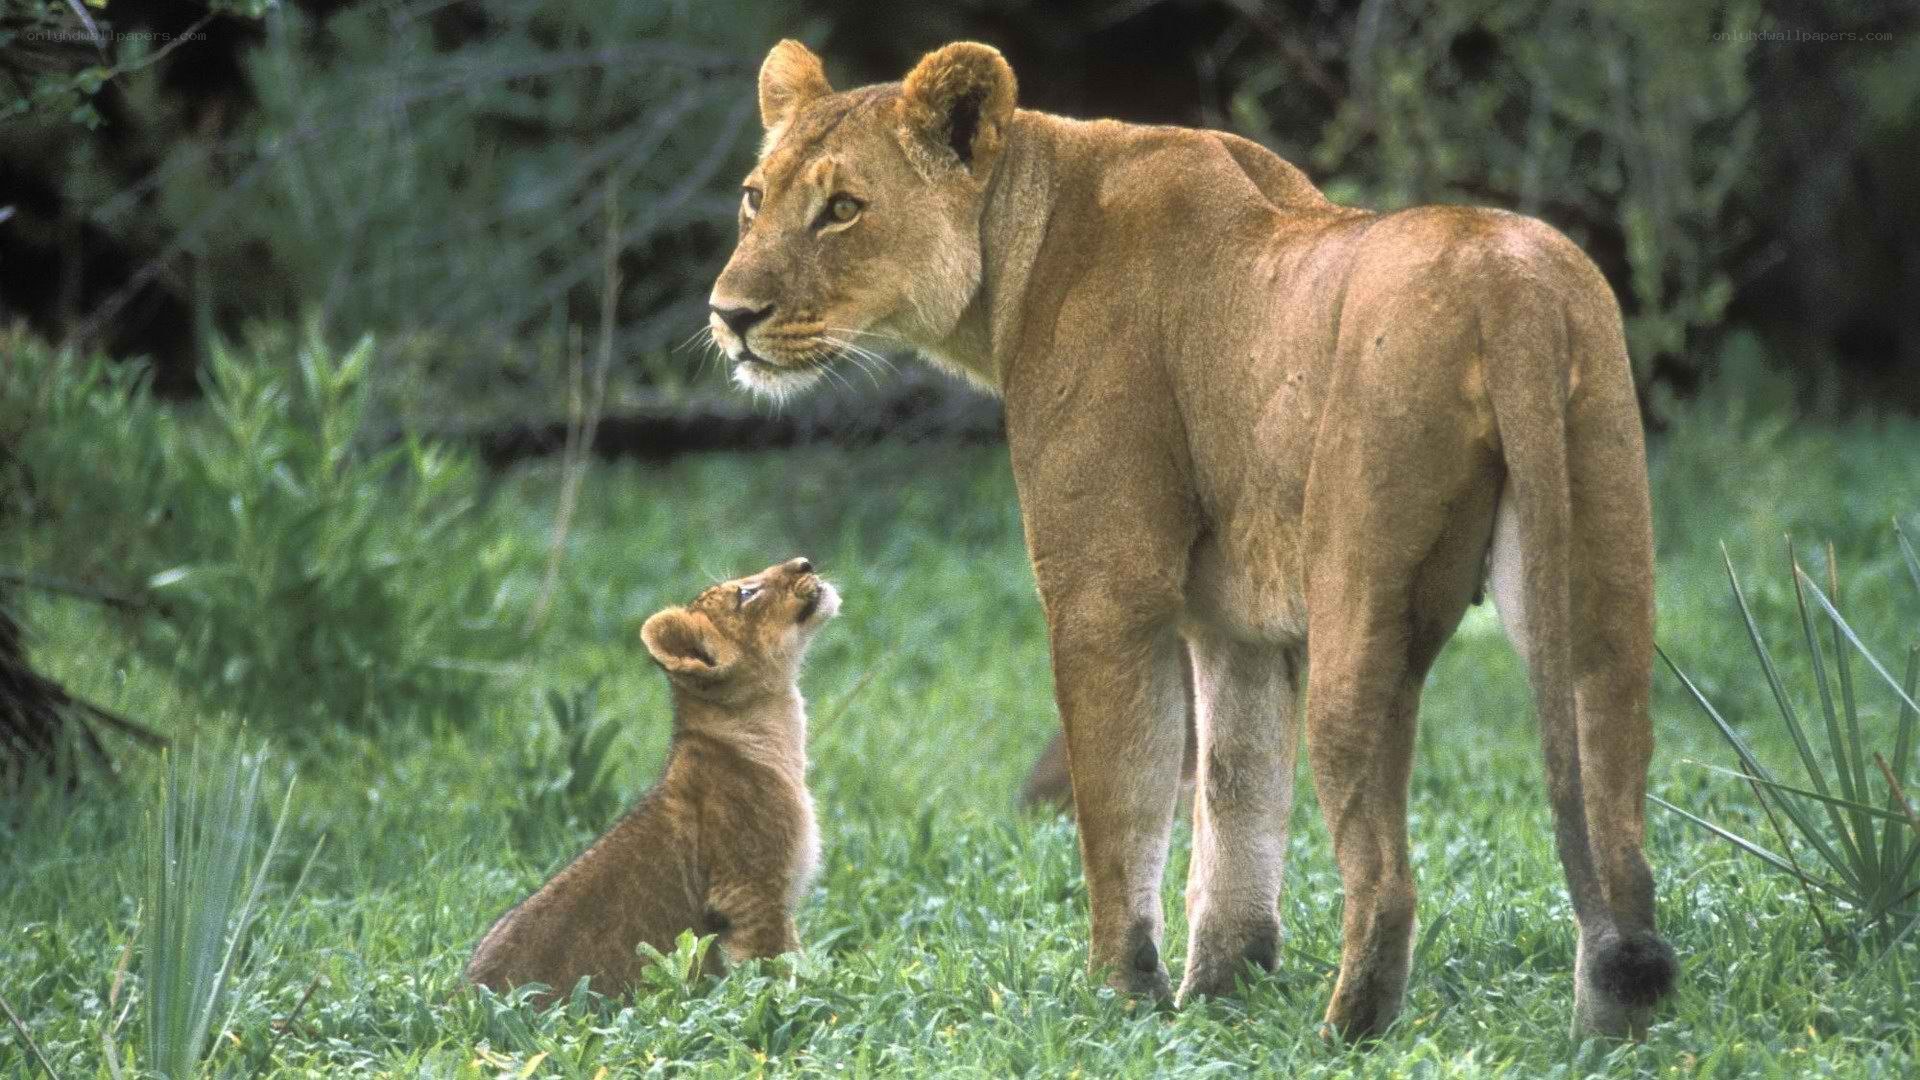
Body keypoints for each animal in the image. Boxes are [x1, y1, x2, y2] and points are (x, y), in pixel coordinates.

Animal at [465, 557, 837, 1006]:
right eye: (746, 593)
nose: (805, 562)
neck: (774, 730)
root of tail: (458, 1002)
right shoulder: (749, 894)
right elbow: (777, 972)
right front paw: (800, 1006)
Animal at [707, 40, 1674, 1039]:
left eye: (843, 209)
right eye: (754, 197)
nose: (728, 314)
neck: (1018, 242)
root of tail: (1513, 289)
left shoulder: (1106, 594)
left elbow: (1121, 809)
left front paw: (1118, 1000)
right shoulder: (1236, 628)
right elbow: (1237, 803)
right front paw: (1221, 997)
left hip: (1362, 609)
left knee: (1387, 879)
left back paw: (1340, 1037)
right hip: (1600, 578)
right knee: (1620, 835)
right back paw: (1612, 1026)